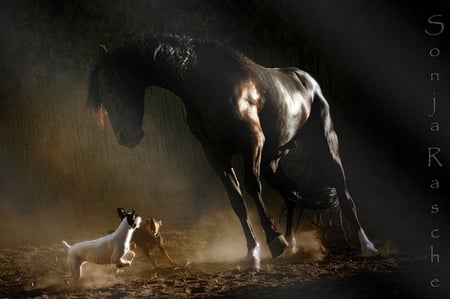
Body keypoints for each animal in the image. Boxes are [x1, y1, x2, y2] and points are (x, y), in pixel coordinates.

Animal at [86, 34, 378, 270]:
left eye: (109, 86)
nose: (126, 138)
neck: (208, 86)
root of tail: (307, 79)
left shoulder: (252, 143)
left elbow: (251, 188)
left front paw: (274, 242)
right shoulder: (215, 154)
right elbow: (236, 199)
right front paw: (254, 252)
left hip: (325, 147)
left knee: (343, 193)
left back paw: (367, 246)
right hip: (272, 161)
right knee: (292, 195)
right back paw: (293, 243)